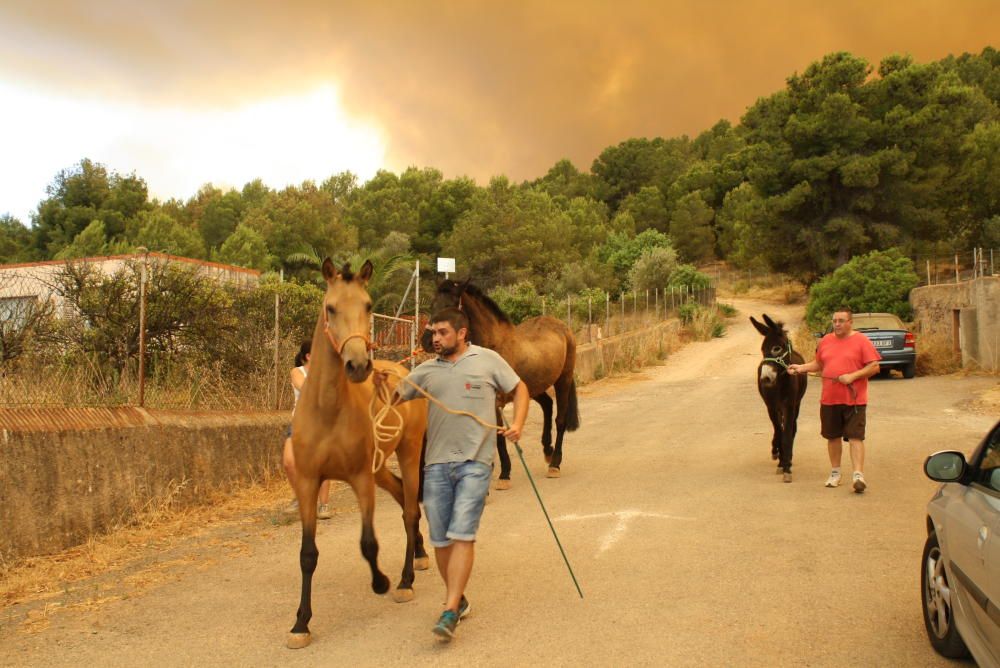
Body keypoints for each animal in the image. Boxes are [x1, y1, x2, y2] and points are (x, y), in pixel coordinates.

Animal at [288, 260, 432, 648]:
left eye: (368, 306)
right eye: (330, 308)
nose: (357, 365)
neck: (327, 411)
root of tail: (401, 371)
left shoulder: (360, 479)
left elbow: (368, 543)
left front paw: (380, 582)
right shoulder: (307, 483)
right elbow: (307, 554)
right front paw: (301, 623)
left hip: (408, 454)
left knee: (410, 510)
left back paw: (406, 579)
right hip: (381, 469)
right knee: (400, 497)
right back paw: (420, 553)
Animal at [420, 280, 580, 482]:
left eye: (449, 306)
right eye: (432, 305)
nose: (428, 341)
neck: (493, 345)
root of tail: (562, 327)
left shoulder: (496, 402)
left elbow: (498, 435)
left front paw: (504, 473)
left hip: (563, 380)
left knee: (560, 420)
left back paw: (555, 464)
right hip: (533, 387)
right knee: (547, 404)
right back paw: (547, 451)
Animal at [752, 314, 808, 480]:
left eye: (776, 348)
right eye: (762, 349)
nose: (765, 379)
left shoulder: (789, 405)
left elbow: (787, 433)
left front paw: (787, 466)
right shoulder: (771, 407)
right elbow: (778, 430)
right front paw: (779, 456)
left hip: (796, 405)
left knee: (793, 428)